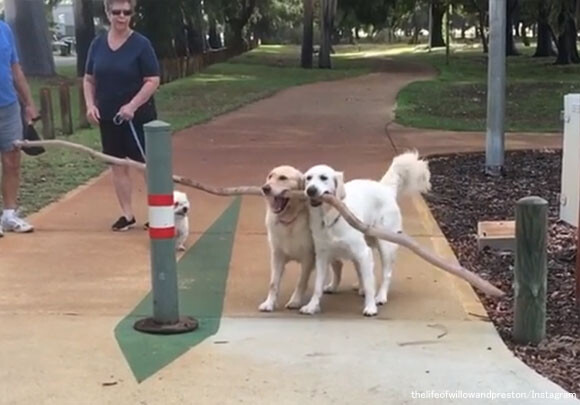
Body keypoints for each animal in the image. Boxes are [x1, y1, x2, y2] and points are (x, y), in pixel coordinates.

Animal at [260, 166, 342, 310]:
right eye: (270, 176)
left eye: (283, 178)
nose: (265, 188)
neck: (289, 220)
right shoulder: (277, 256)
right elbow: (273, 283)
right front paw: (269, 303)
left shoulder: (308, 257)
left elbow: (301, 282)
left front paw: (295, 301)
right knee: (338, 265)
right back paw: (333, 287)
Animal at [302, 151, 428, 316]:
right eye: (308, 178)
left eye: (324, 177)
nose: (310, 190)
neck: (330, 217)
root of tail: (384, 188)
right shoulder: (322, 255)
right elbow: (317, 287)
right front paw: (311, 306)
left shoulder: (363, 252)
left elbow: (370, 284)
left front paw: (370, 307)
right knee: (361, 272)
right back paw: (359, 288)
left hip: (385, 245)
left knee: (386, 274)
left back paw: (380, 296)